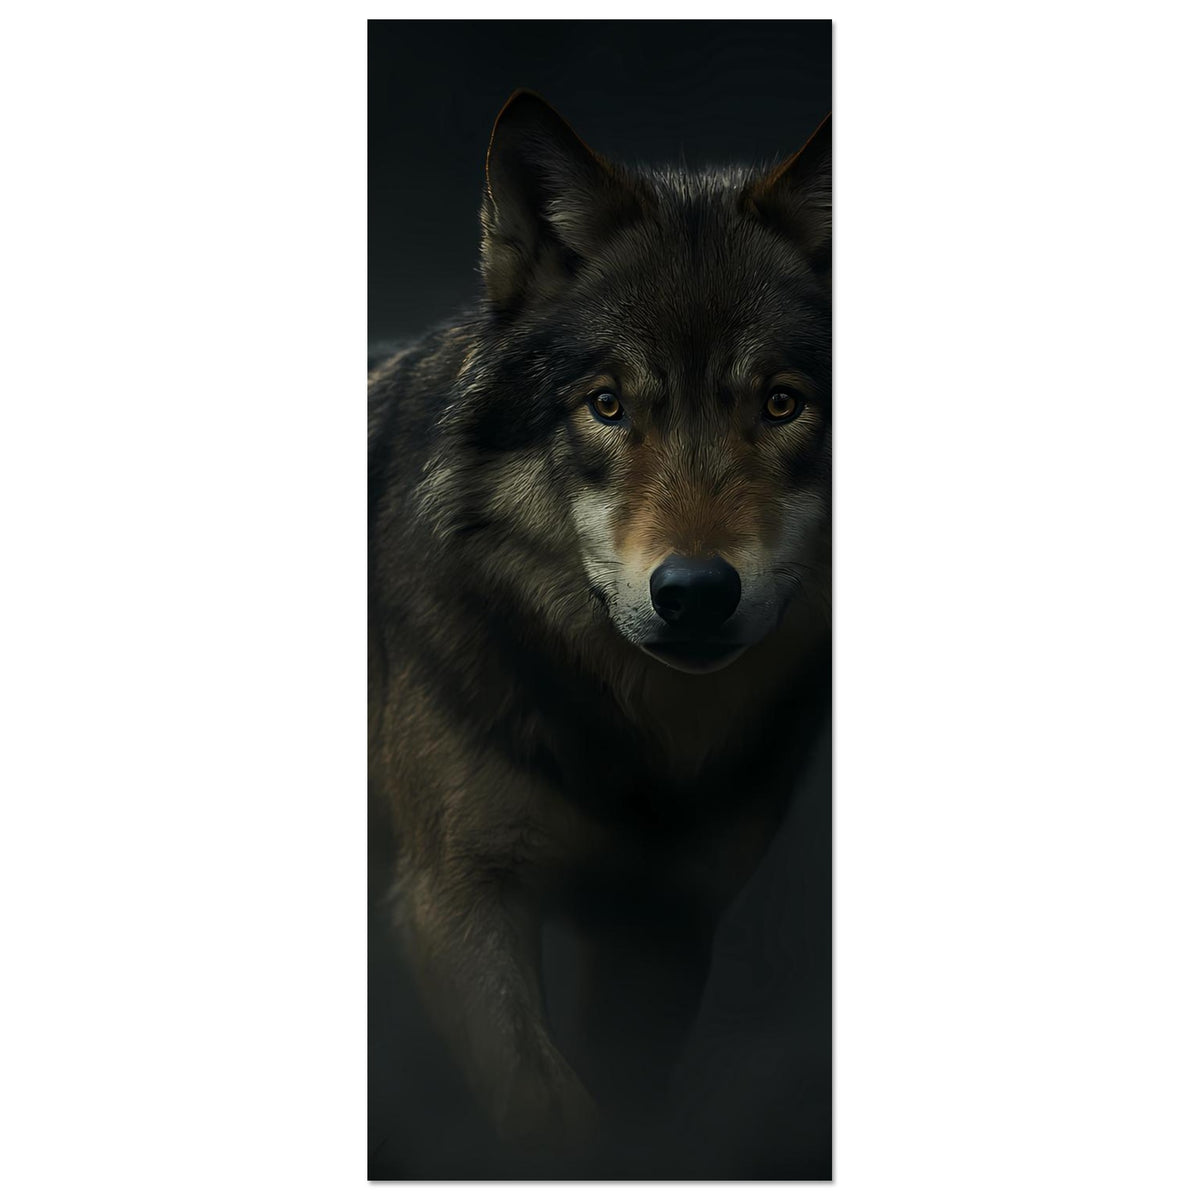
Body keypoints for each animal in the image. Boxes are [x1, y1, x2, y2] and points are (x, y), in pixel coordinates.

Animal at [369, 90, 831, 1157]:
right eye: (608, 405)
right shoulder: (454, 897)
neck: (634, 740)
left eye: (783, 403)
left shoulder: (664, 925)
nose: (695, 590)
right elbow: (547, 1111)